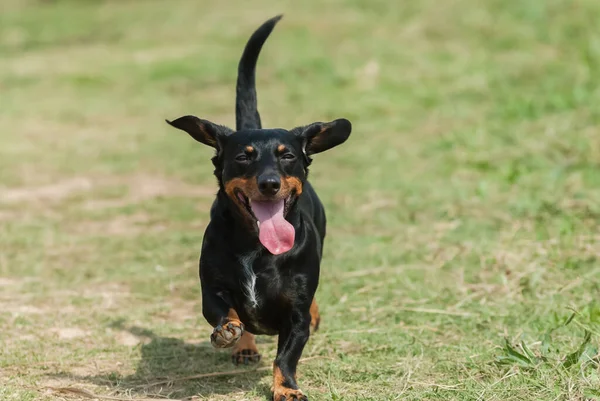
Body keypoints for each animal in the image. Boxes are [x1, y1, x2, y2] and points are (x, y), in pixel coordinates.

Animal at [166, 15, 350, 400]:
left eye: (288, 155)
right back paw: (245, 344)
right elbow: (224, 311)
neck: (257, 248)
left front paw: (286, 388)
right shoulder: (212, 289)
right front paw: (229, 332)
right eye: (242, 157)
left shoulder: (295, 316)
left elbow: (286, 356)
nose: (269, 183)